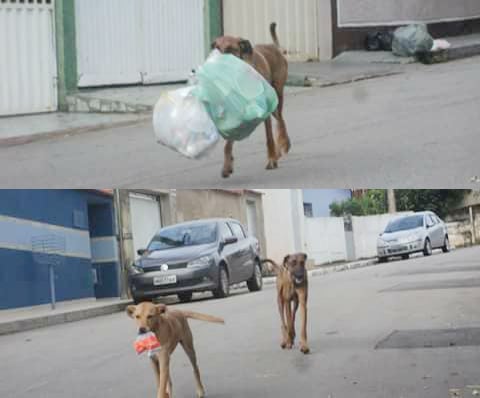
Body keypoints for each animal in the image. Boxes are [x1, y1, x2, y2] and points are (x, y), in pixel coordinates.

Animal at [211, 21, 288, 177]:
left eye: (229, 49)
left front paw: (271, 160)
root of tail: (274, 47)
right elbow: (228, 144)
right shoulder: (235, 112)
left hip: (277, 98)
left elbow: (269, 137)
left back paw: (283, 146)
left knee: (281, 121)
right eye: (216, 47)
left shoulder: (265, 111)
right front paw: (227, 165)